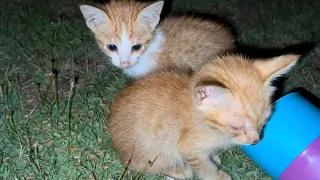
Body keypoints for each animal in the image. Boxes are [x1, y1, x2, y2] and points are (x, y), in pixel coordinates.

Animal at [109, 53, 302, 179]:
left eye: (263, 123)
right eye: (236, 127)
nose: (255, 141)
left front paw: (214, 158)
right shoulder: (188, 147)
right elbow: (203, 167)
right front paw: (216, 176)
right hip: (151, 148)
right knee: (143, 165)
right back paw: (179, 170)